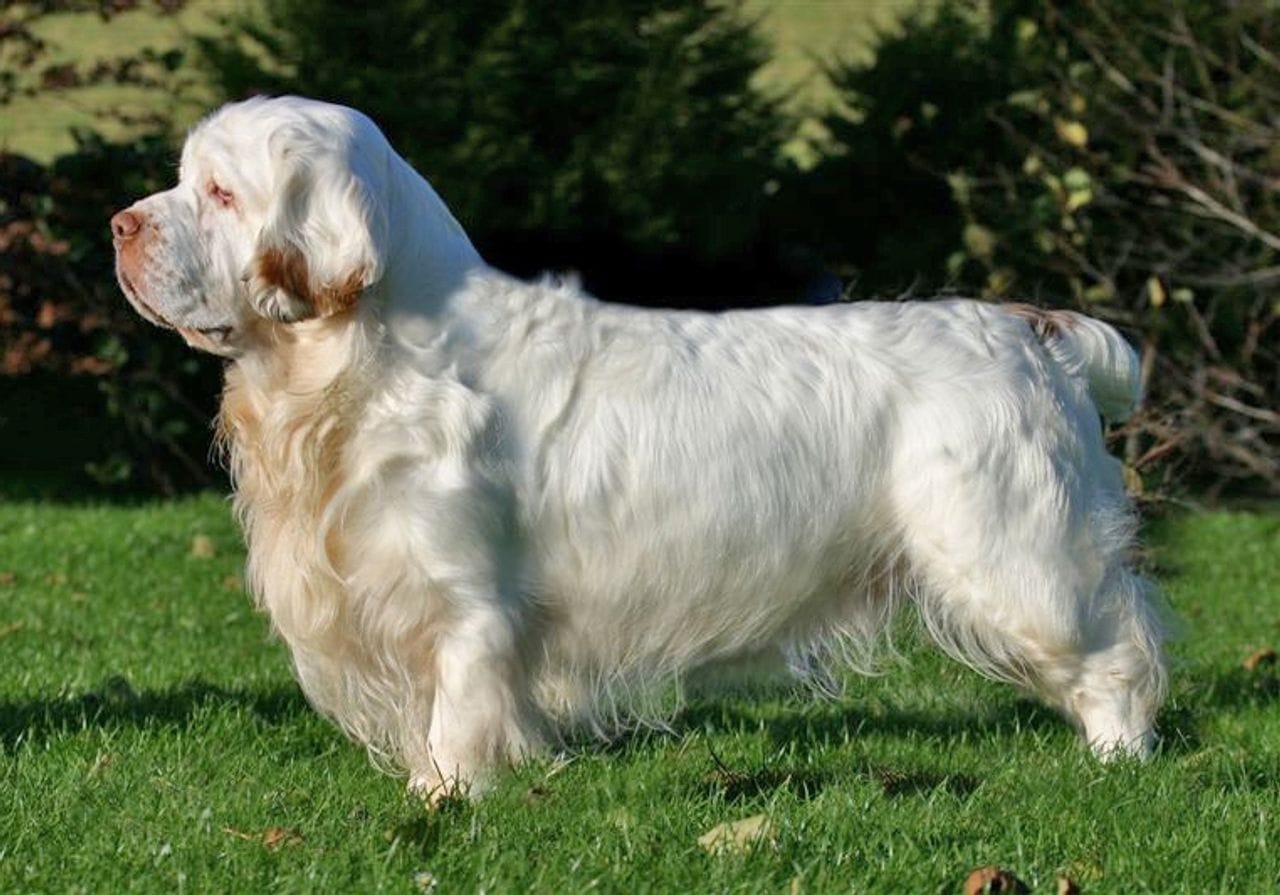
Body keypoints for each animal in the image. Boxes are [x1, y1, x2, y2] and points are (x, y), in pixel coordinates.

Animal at [115, 96, 1167, 798]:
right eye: (182, 180)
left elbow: (456, 709)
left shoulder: (463, 599)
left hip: (1015, 554)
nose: (119, 224)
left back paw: (1119, 759)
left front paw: (443, 798)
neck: (361, 368)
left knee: (1117, 650)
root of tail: (1031, 328)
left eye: (220, 191)